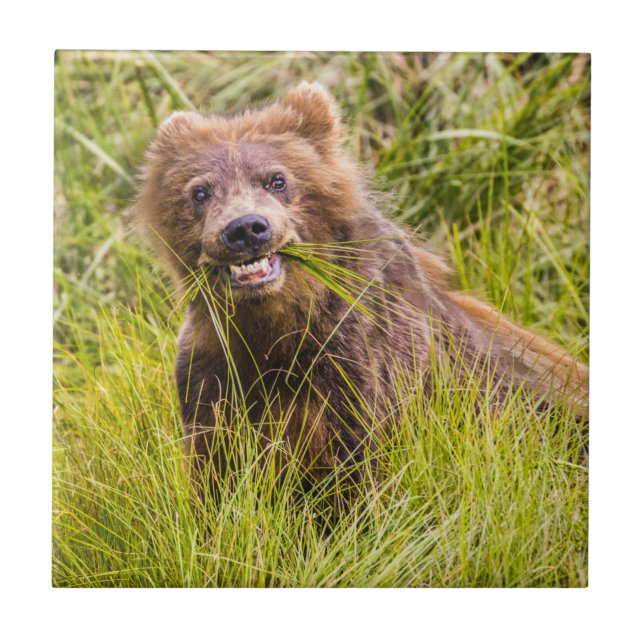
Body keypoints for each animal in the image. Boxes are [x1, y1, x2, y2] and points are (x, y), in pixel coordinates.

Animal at [135, 82, 588, 494]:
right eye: (199, 191)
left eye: (277, 180)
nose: (245, 229)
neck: (276, 325)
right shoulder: (214, 369)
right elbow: (217, 472)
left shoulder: (359, 363)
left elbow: (359, 469)